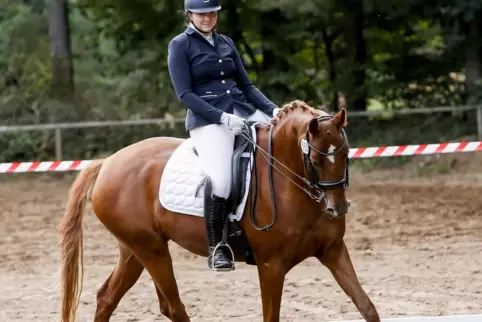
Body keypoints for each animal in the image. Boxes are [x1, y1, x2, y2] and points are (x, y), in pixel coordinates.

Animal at [57, 100, 380, 322]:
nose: (336, 208)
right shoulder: (271, 265)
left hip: (134, 250)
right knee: (172, 306)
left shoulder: (333, 250)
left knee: (107, 298)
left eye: (345, 152)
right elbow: (271, 316)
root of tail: (108, 163)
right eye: (314, 159)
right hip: (151, 251)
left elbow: (367, 306)